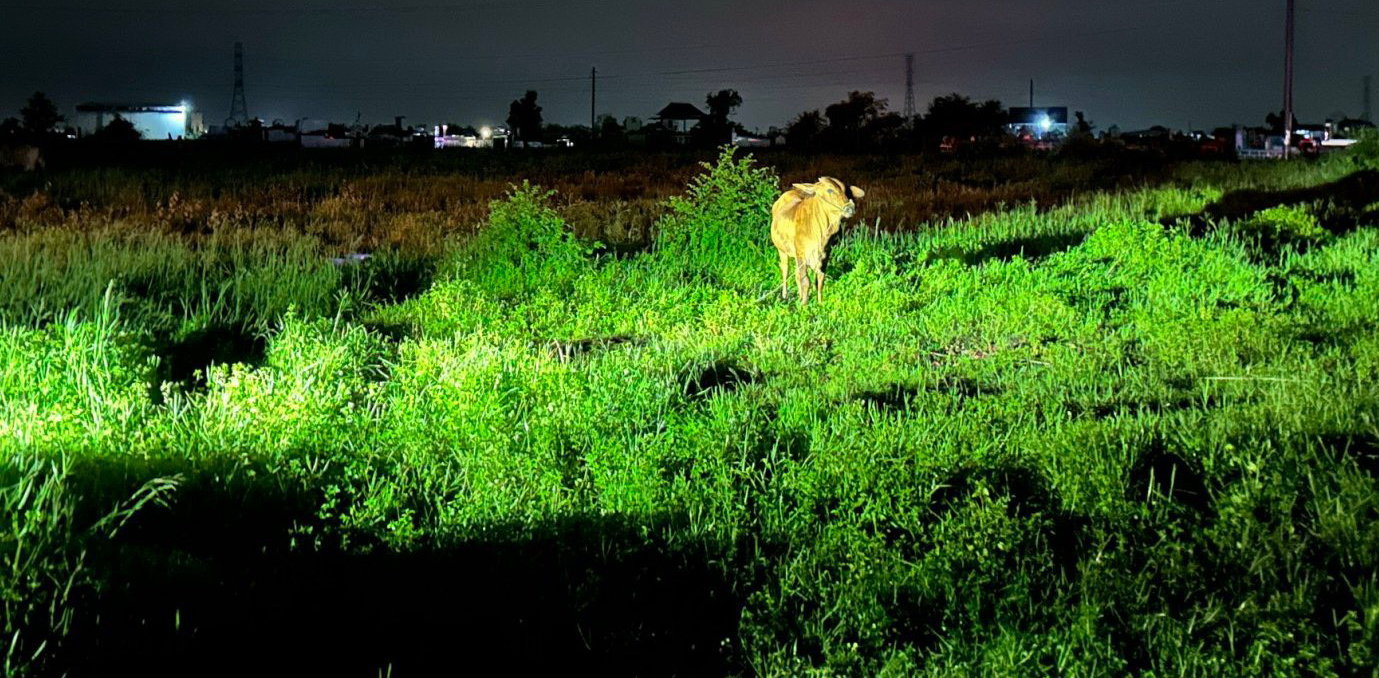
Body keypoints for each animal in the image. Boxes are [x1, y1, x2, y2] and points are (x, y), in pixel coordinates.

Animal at [772, 175, 866, 304]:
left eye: (846, 191)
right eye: (830, 190)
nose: (850, 208)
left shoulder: (825, 255)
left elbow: (820, 280)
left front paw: (820, 303)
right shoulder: (801, 255)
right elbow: (805, 281)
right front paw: (804, 305)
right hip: (782, 251)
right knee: (785, 271)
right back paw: (785, 295)